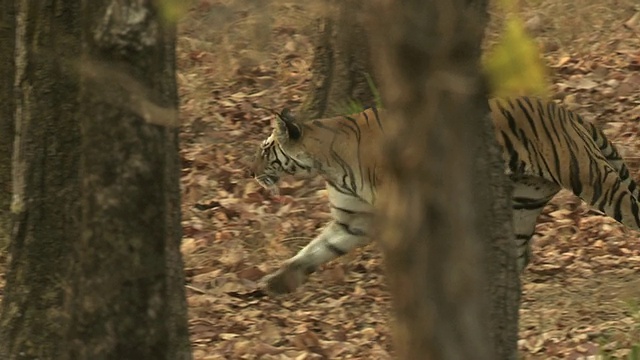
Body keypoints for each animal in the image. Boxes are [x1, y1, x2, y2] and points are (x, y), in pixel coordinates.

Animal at [250, 97, 640, 294]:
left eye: (265, 150)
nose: (250, 173)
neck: (327, 163)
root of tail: (565, 111)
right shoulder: (353, 221)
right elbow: (314, 251)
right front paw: (276, 282)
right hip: (524, 202)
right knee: (520, 253)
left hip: (593, 180)